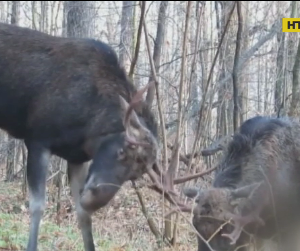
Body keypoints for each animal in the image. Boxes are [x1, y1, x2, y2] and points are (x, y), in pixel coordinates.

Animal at [0, 21, 180, 251]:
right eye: (121, 151)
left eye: (135, 175)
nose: (92, 201)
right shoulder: (37, 139)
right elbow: (38, 206)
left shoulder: (77, 158)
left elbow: (82, 215)